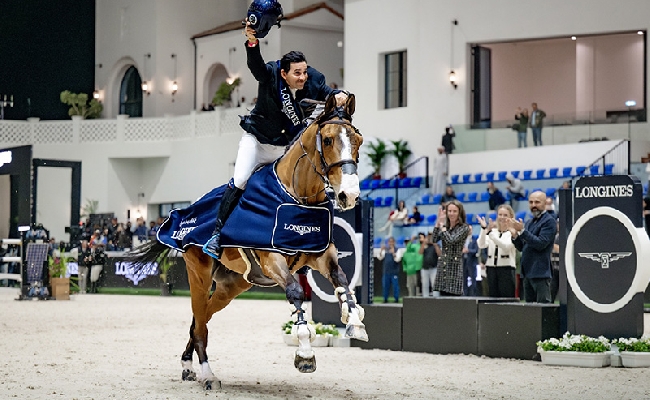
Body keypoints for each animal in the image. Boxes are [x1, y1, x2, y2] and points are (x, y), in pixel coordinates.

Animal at [128, 93, 364, 388]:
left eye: (358, 141)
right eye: (329, 140)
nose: (349, 196)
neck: (298, 195)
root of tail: (182, 212)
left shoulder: (320, 253)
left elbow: (341, 279)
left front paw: (355, 322)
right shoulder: (272, 260)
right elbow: (296, 293)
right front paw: (305, 354)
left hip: (232, 285)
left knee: (201, 318)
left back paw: (187, 365)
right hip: (199, 273)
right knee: (200, 321)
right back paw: (207, 374)